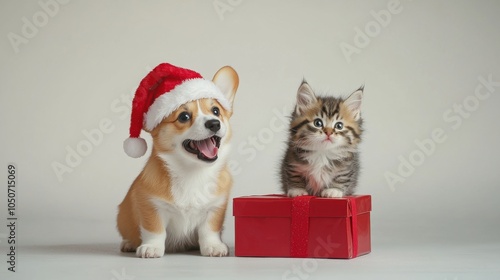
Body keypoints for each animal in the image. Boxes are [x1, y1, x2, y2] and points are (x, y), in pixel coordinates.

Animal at [119, 65, 240, 258]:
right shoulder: (151, 205)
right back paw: (128, 243)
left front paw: (213, 246)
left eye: (216, 111)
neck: (193, 171)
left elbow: (209, 229)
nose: (214, 123)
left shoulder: (215, 208)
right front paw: (151, 248)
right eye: (184, 116)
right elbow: (155, 230)